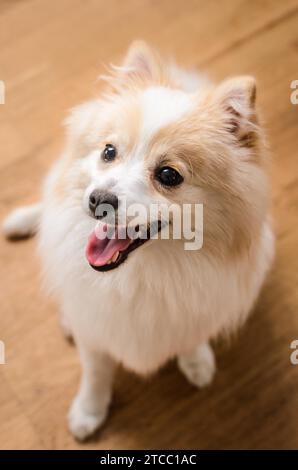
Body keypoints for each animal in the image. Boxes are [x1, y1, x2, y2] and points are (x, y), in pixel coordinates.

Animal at [3, 41, 274, 440]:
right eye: (108, 152)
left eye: (168, 175)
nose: (97, 199)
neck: (142, 274)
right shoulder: (95, 328)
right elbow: (96, 372)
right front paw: (88, 411)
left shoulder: (200, 305)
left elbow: (191, 336)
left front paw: (196, 361)